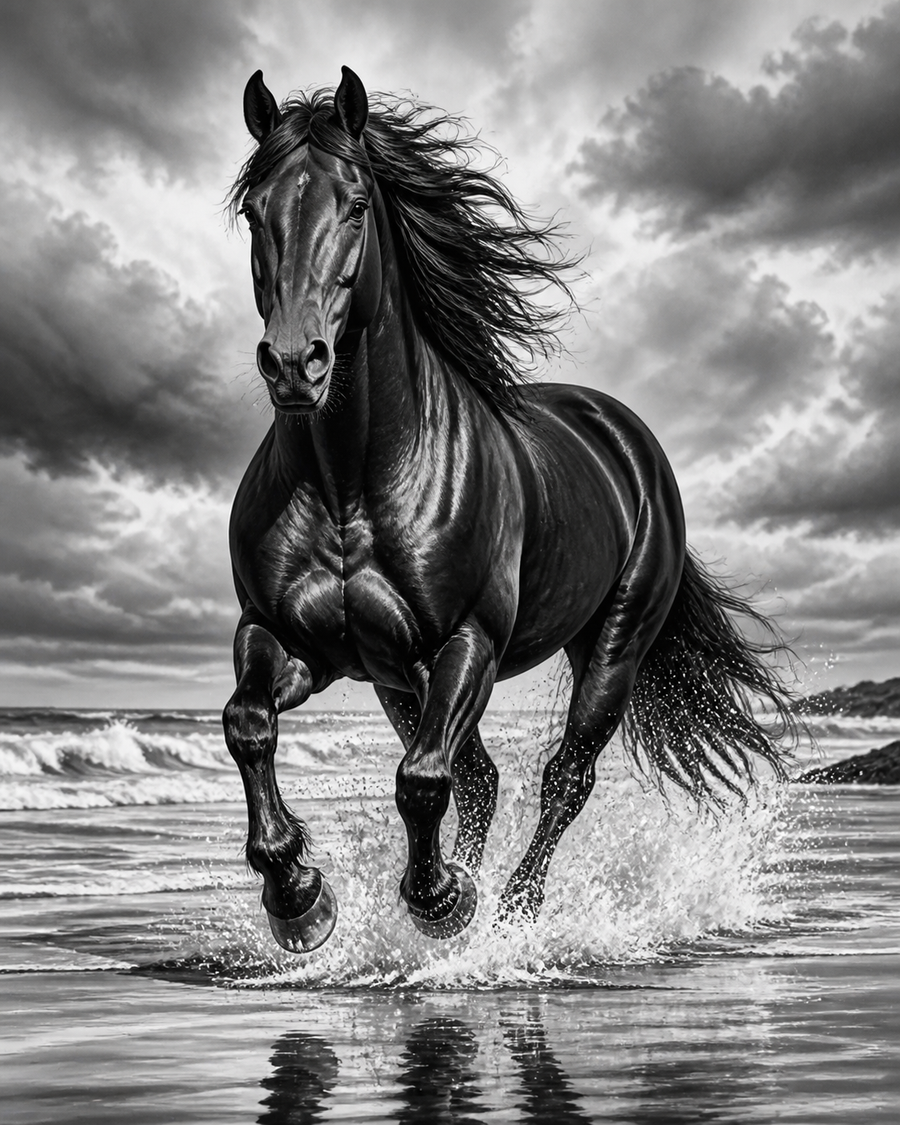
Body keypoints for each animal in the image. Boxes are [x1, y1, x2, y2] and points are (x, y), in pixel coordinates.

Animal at [222, 66, 795, 954]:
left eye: (356, 203)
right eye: (256, 210)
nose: (294, 362)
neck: (351, 480)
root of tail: (627, 438)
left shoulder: (470, 643)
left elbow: (422, 780)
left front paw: (442, 901)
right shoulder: (289, 637)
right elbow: (248, 722)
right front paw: (300, 898)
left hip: (612, 644)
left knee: (563, 777)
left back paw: (514, 911)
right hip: (397, 678)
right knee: (484, 777)